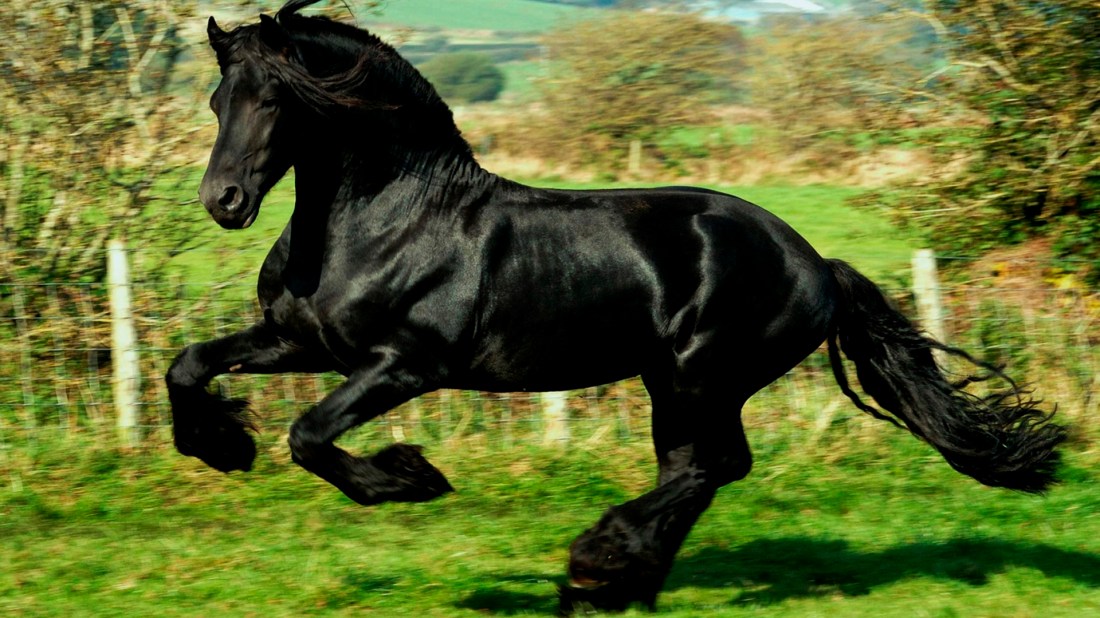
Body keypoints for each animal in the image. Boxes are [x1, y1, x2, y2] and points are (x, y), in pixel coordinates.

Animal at [166, 0, 1066, 612]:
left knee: (711, 466)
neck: (389, 217)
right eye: (216, 101)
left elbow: (311, 435)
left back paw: (597, 564)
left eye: (277, 100)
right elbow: (189, 366)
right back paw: (621, 585)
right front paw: (220, 446)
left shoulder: (404, 366)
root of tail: (815, 263)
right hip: (672, 382)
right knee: (697, 470)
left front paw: (411, 478)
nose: (224, 202)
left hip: (703, 375)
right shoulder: (301, 343)